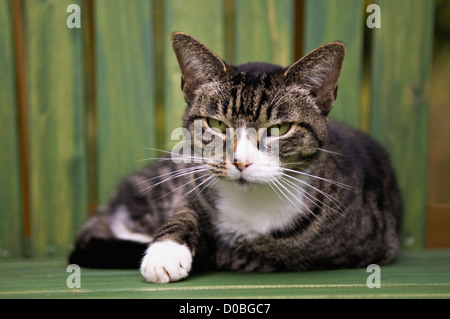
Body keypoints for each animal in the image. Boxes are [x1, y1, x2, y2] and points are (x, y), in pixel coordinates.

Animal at [68, 31, 402, 284]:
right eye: (216, 125)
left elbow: (236, 252)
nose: (240, 161)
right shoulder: (191, 186)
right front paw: (165, 251)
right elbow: (184, 212)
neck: (250, 202)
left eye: (280, 129)